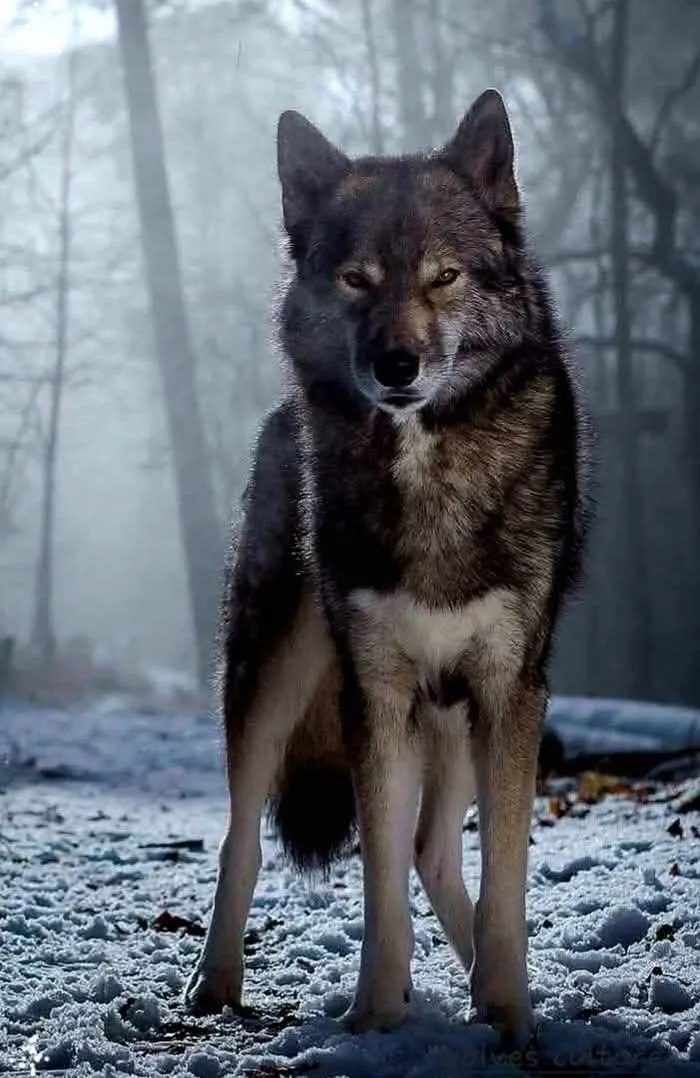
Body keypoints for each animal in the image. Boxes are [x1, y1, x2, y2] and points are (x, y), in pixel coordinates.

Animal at [185, 89, 591, 1046]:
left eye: (444, 276)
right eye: (356, 279)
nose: (395, 365)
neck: (426, 464)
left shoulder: (509, 691)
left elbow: (505, 881)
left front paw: (508, 1014)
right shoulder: (374, 696)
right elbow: (378, 894)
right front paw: (374, 1016)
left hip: (456, 720)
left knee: (434, 852)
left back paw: (482, 982)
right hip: (273, 681)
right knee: (243, 837)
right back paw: (214, 985)